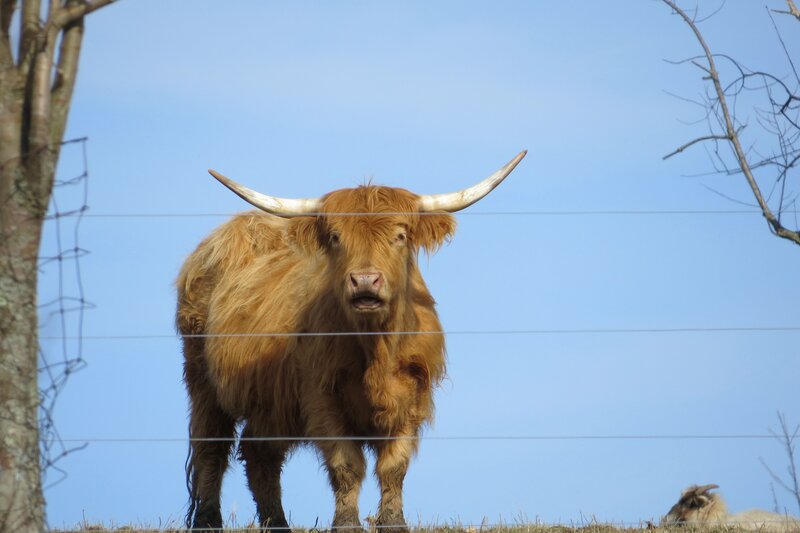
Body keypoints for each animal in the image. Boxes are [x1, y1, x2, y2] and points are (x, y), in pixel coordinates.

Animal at [176, 151, 527, 532]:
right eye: (335, 236)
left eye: (400, 235)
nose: (365, 281)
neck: (376, 349)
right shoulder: (322, 394)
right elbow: (346, 464)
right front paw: (345, 522)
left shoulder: (414, 394)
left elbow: (394, 466)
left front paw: (393, 522)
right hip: (202, 380)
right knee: (211, 447)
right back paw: (208, 521)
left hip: (269, 402)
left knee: (259, 452)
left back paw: (278, 522)